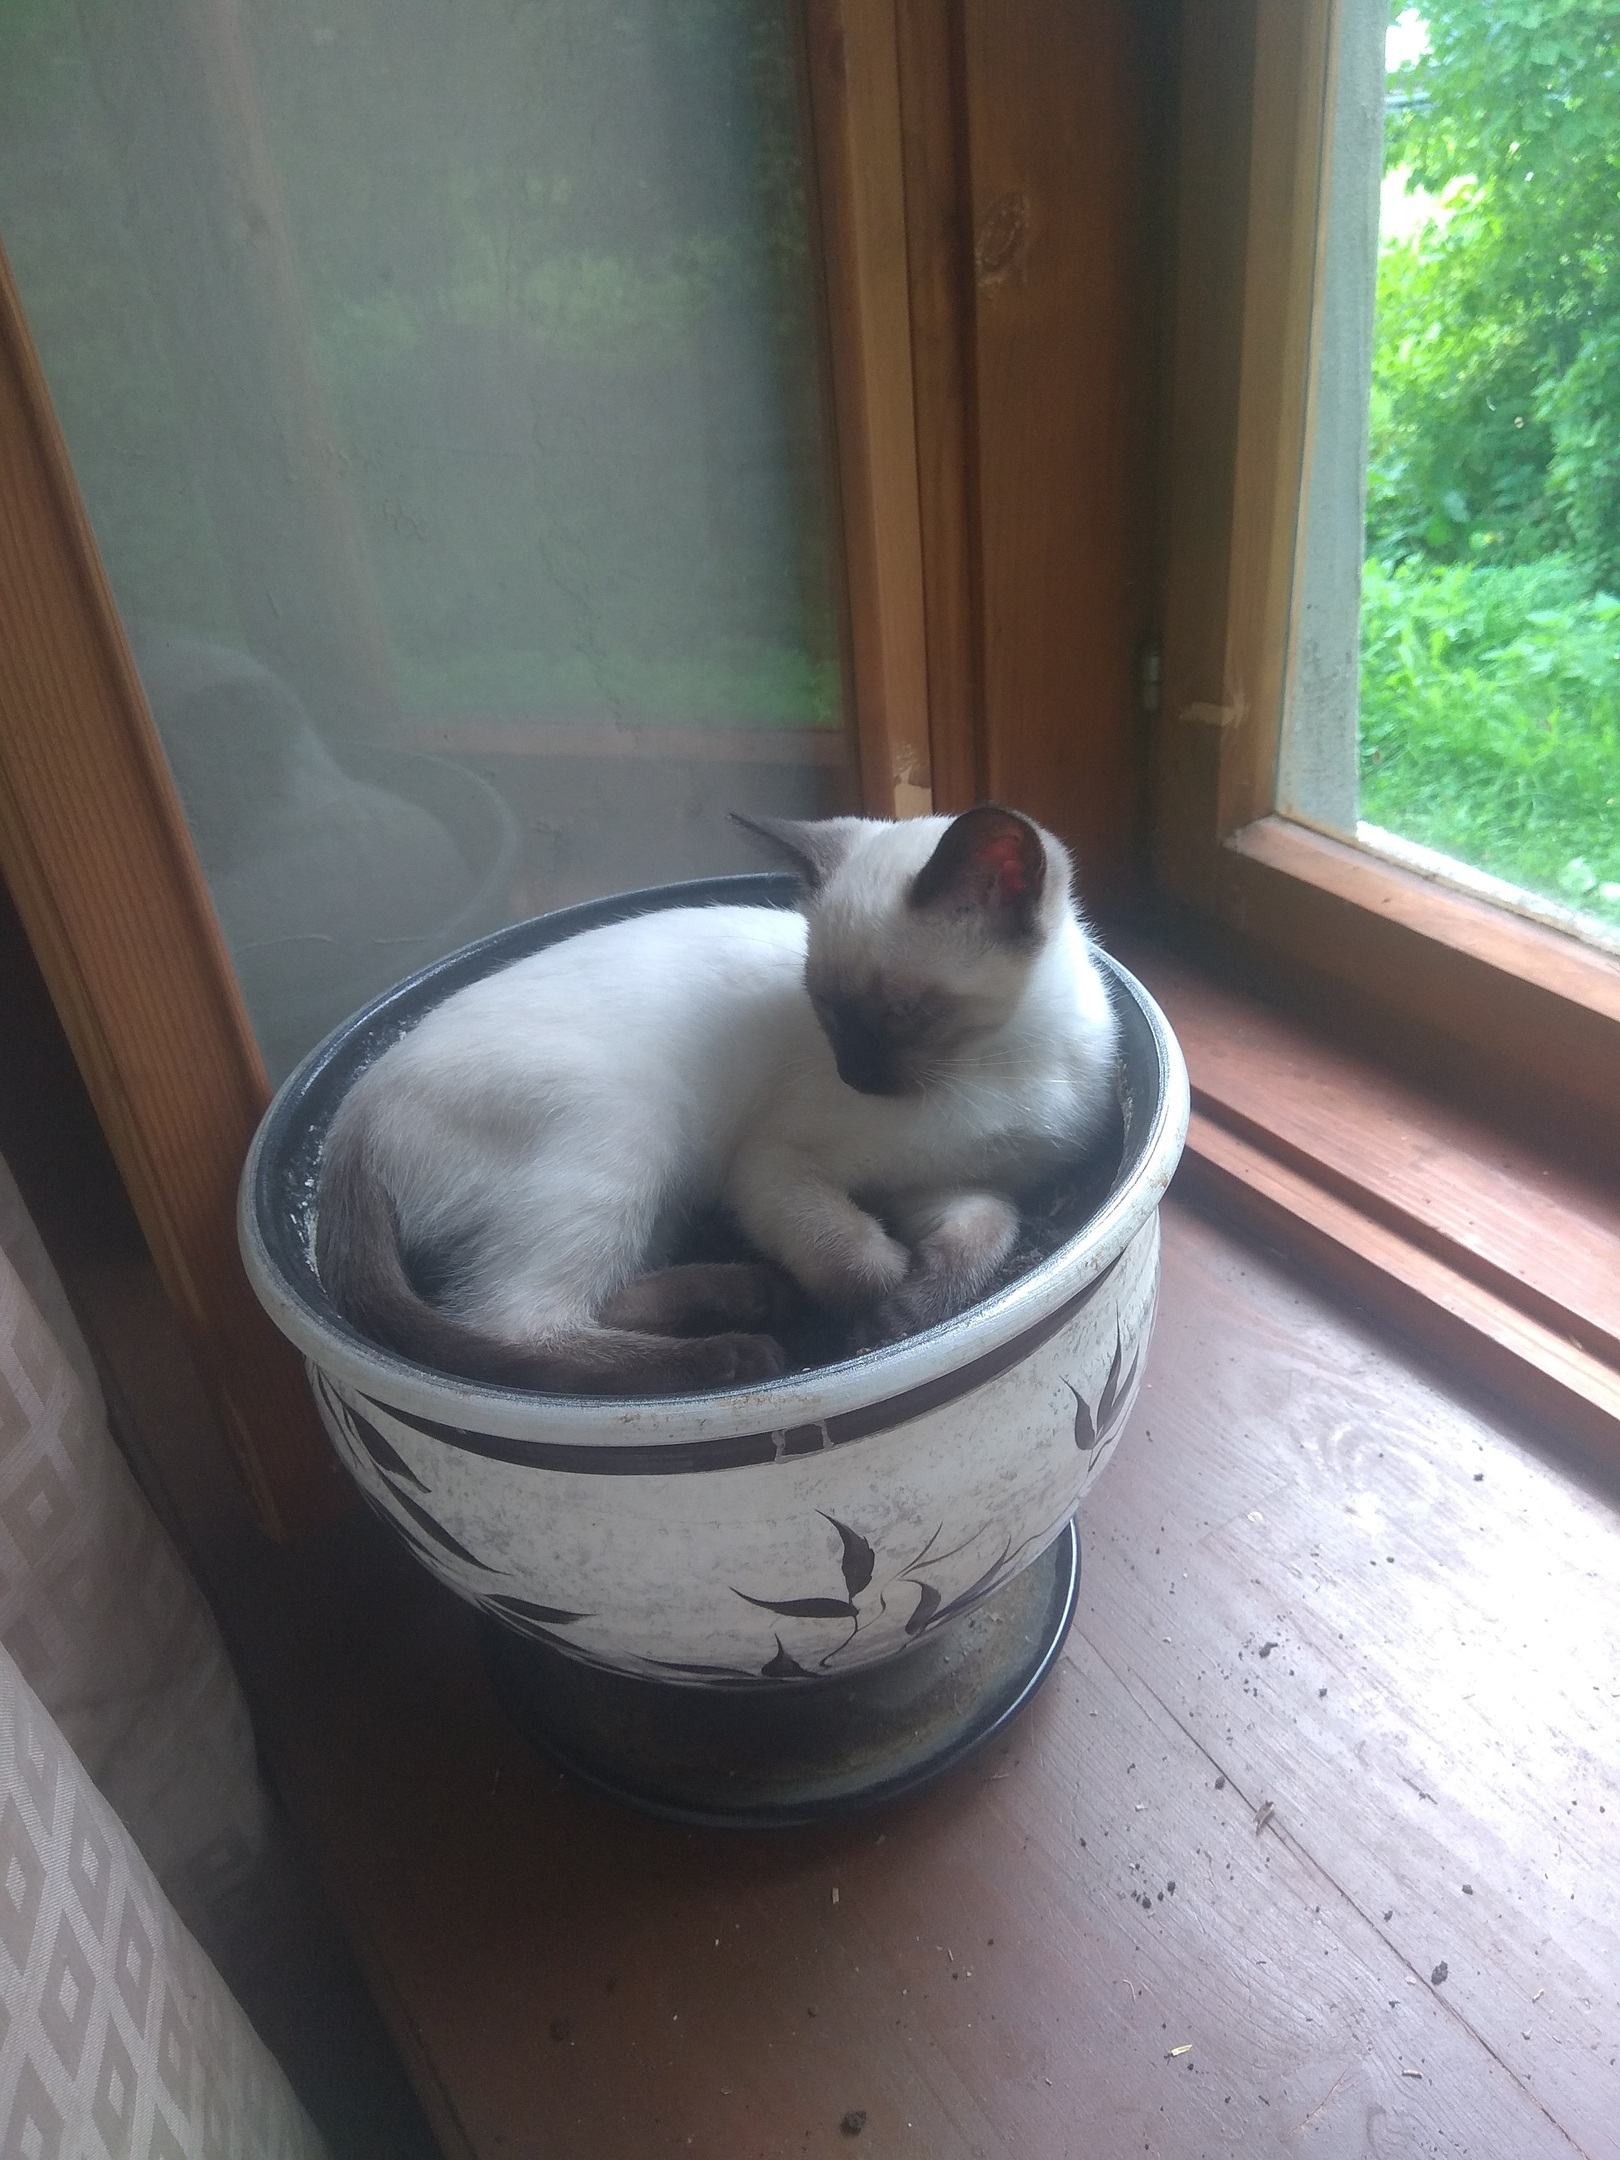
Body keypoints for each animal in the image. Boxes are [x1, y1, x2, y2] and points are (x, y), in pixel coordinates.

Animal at [319, 803, 1131, 1391]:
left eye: (904, 1011)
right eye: (825, 1006)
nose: (856, 1077)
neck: (998, 1067)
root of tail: (350, 1121)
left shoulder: (956, 1187)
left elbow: (981, 1239)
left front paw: (904, 1315)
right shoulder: (774, 1165)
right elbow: (856, 1260)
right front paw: (871, 1313)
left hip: (660, 1195)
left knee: (595, 1300)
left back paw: (753, 1297)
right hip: (630, 1139)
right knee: (513, 1327)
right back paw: (741, 1350)